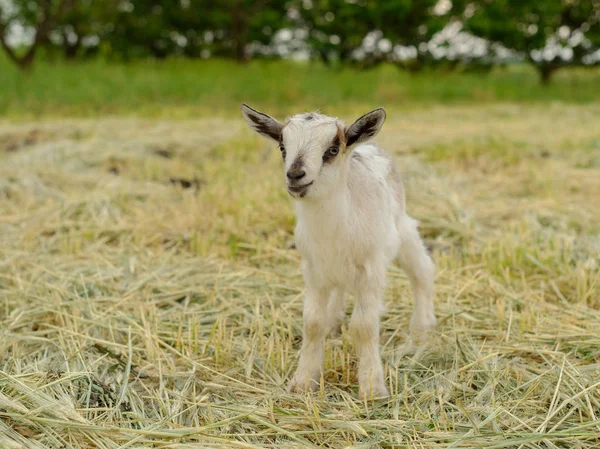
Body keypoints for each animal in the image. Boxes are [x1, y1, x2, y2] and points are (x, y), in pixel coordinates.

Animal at [240, 103, 436, 398]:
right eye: (282, 147)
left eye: (332, 150)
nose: (295, 176)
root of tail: (371, 146)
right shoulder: (313, 270)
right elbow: (312, 323)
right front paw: (303, 381)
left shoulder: (370, 270)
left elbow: (364, 326)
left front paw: (372, 388)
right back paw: (335, 321)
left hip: (403, 231)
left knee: (423, 273)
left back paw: (421, 331)